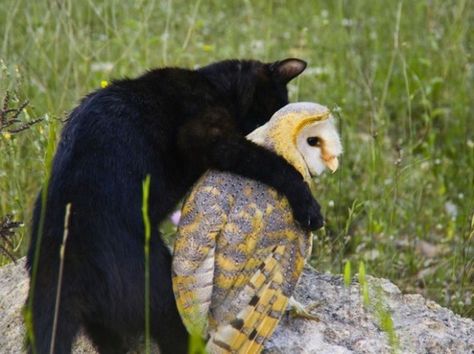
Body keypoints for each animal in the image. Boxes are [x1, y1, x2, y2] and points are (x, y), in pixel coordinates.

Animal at [25, 58, 322, 354]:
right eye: (271, 114)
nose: (271, 133)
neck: (216, 86)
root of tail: (61, 258)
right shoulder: (207, 135)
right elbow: (270, 162)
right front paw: (308, 205)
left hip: (102, 325)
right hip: (163, 293)